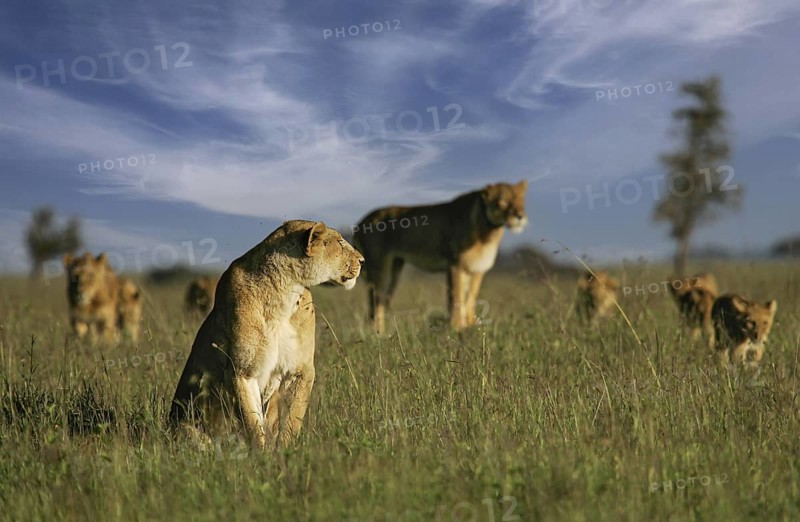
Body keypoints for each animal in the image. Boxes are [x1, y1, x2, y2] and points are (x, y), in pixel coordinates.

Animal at [168, 221, 364, 449]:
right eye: (340, 242)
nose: (362, 260)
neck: (285, 293)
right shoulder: (242, 372)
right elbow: (252, 422)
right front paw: (263, 455)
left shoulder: (301, 370)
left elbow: (292, 418)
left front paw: (286, 450)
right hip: (185, 427)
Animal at [353, 181, 528, 333]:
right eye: (503, 202)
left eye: (521, 200)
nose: (520, 216)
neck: (488, 232)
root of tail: (361, 222)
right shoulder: (455, 265)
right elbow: (456, 297)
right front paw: (456, 328)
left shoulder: (476, 269)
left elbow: (470, 297)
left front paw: (470, 325)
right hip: (379, 270)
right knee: (375, 304)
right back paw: (378, 334)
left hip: (394, 270)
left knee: (381, 302)